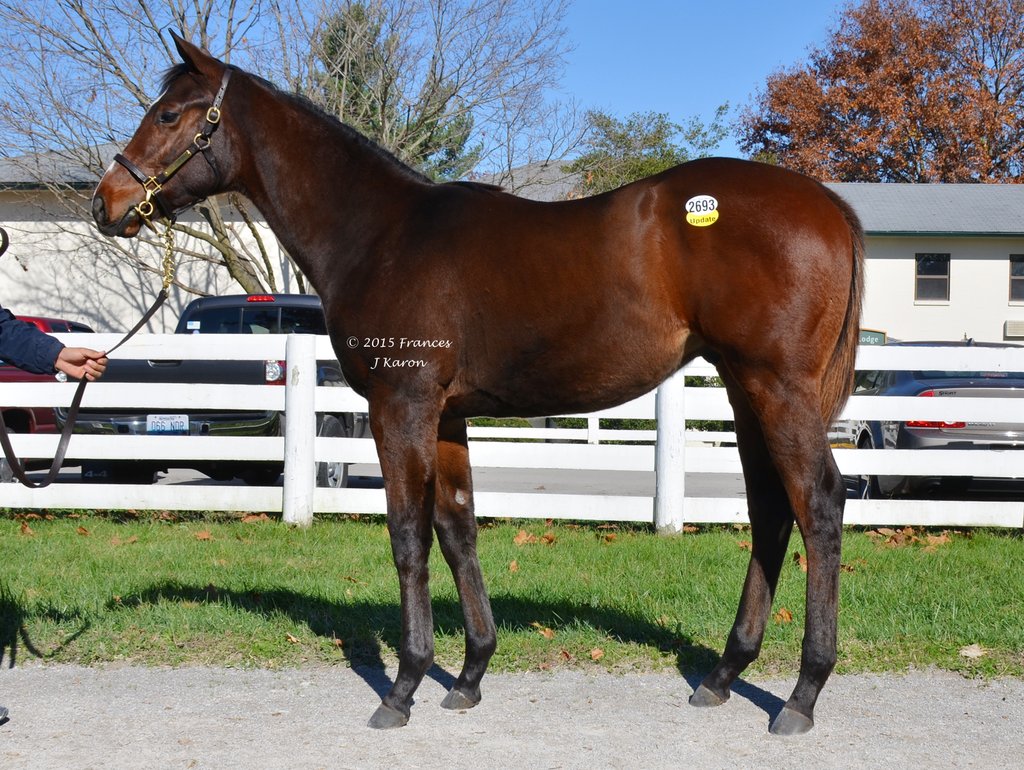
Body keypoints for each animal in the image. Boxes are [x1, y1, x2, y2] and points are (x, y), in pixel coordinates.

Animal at [93, 33, 864, 736]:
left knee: (820, 503)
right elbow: (457, 526)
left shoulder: (400, 406)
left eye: (169, 114)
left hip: (776, 387)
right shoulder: (445, 415)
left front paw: (402, 687)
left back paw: (801, 695)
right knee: (771, 511)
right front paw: (468, 675)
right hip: (743, 388)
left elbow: (407, 534)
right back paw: (724, 674)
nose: (107, 202)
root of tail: (827, 205)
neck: (381, 234)